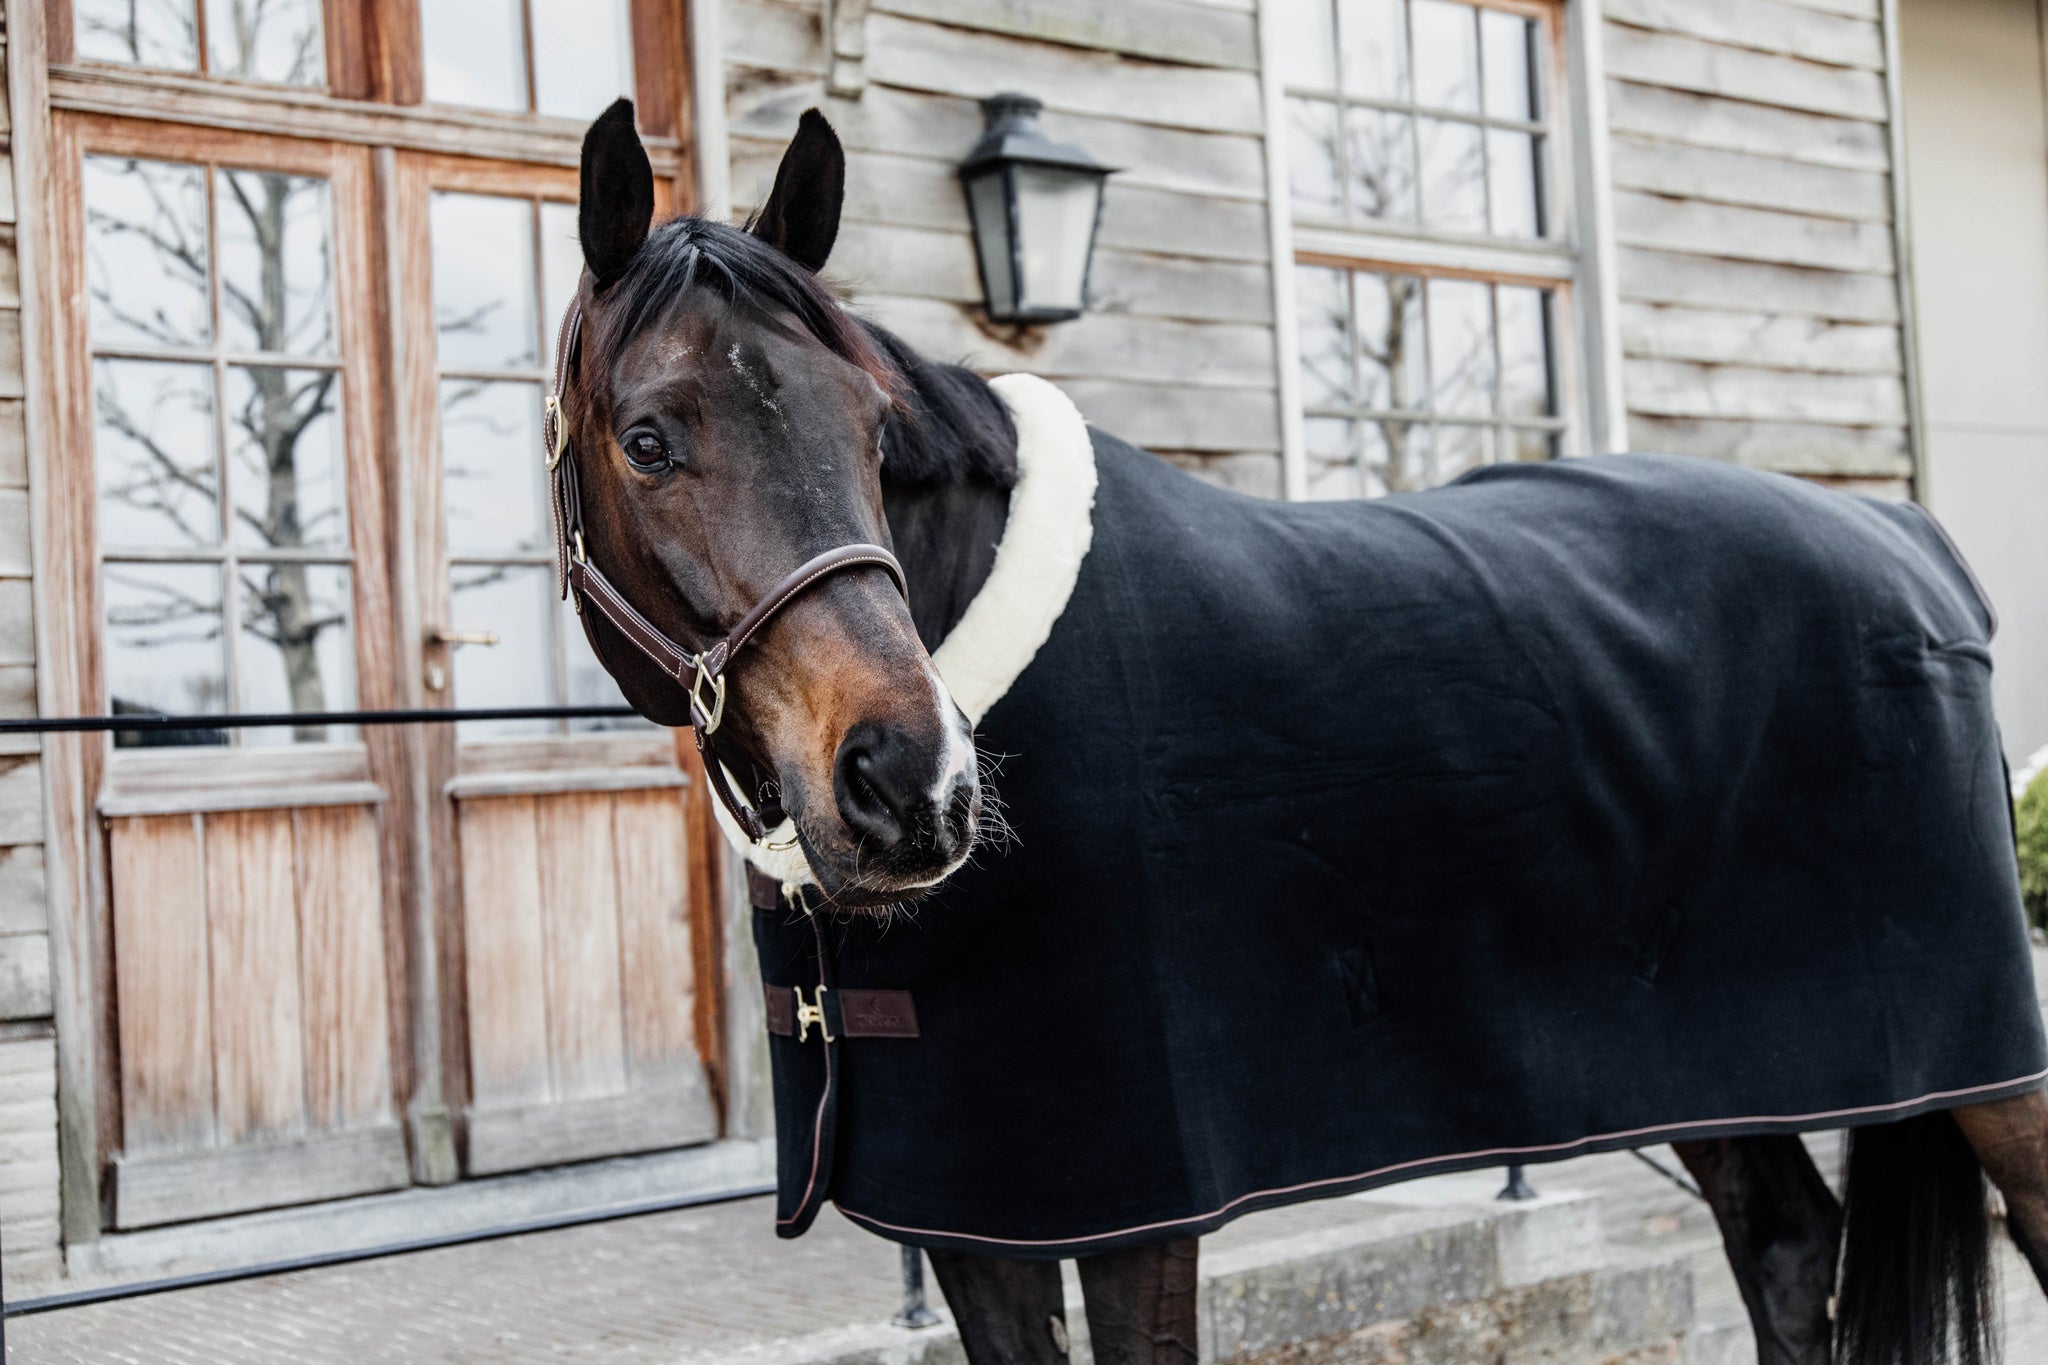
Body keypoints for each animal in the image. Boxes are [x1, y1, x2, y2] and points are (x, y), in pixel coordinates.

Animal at [552, 104, 2048, 1365]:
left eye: (876, 431)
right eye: (647, 440)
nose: (913, 786)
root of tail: (1908, 540)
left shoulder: (1139, 1215)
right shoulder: (977, 1221)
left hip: (1990, 1067)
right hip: (1710, 1079)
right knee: (1788, 1248)